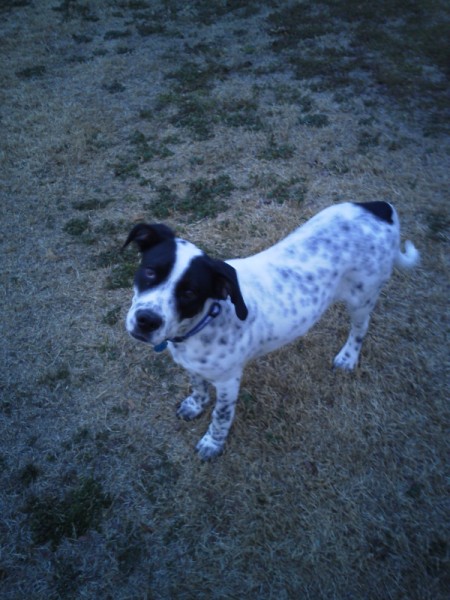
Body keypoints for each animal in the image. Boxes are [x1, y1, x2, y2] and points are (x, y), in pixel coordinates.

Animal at [122, 202, 418, 460]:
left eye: (190, 293)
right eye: (150, 272)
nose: (147, 320)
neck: (205, 321)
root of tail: (381, 207)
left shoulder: (228, 381)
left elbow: (221, 417)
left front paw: (212, 444)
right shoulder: (193, 365)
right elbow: (197, 386)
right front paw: (195, 405)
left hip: (362, 297)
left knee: (360, 328)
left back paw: (348, 357)